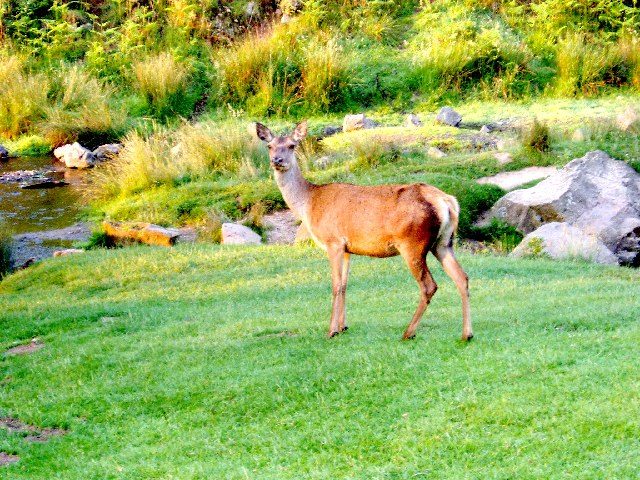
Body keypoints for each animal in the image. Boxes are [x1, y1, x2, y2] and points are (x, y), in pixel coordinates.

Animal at [258, 122, 472, 344]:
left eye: (292, 145)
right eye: (270, 146)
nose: (277, 160)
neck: (309, 204)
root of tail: (447, 201)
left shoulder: (333, 241)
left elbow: (335, 285)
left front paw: (331, 330)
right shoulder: (347, 248)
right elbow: (345, 284)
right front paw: (343, 326)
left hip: (413, 243)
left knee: (429, 285)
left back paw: (408, 332)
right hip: (444, 242)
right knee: (462, 277)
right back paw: (466, 334)